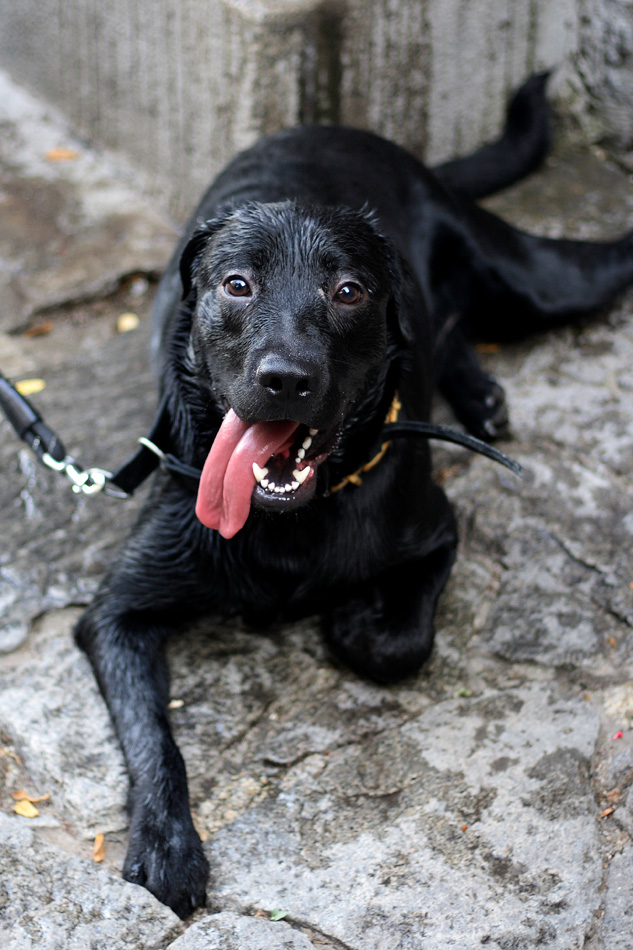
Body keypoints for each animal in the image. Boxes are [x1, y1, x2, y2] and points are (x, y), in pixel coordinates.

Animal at [75, 75, 633, 917]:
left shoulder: (437, 531)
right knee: (444, 327)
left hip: (538, 283)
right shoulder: (116, 614)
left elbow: (399, 643)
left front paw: (351, 616)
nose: (285, 379)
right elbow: (152, 738)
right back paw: (477, 394)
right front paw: (168, 843)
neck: (288, 522)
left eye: (347, 291)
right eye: (236, 284)